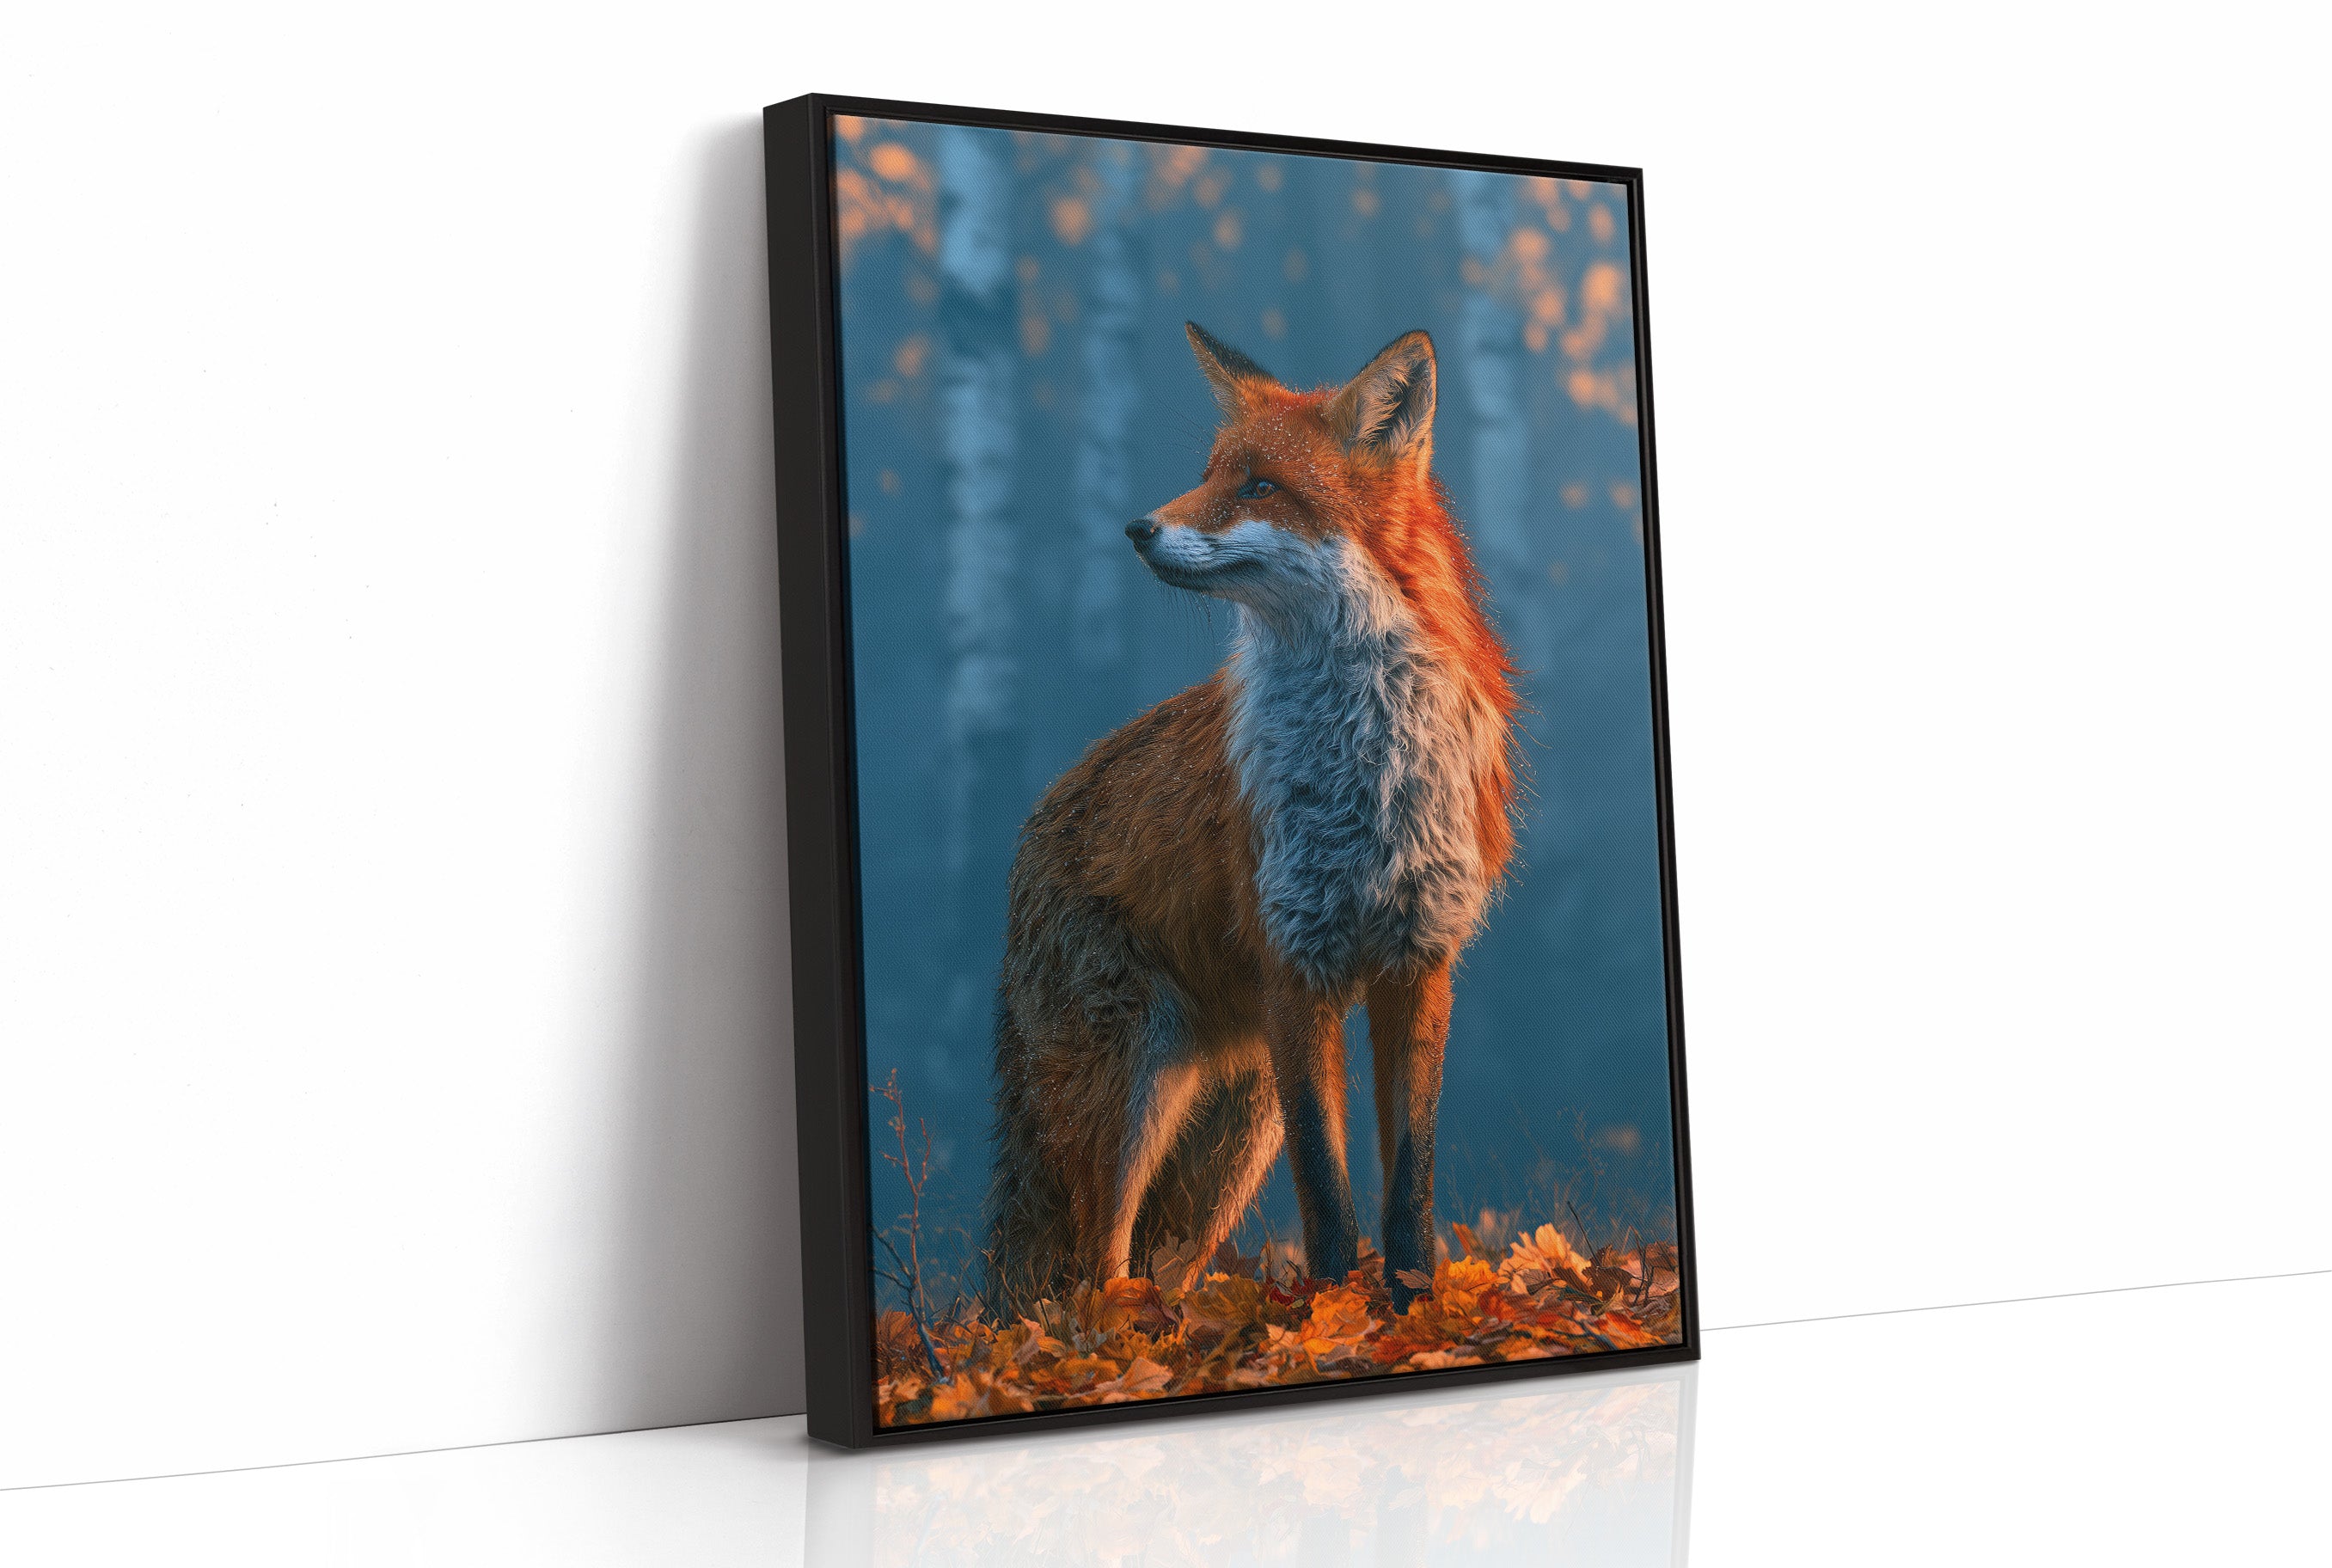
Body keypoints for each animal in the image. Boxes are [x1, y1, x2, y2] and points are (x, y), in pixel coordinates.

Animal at [982, 322, 1520, 1315]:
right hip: (1128, 1096)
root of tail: (1038, 816)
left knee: (1153, 1265)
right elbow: (1327, 1194)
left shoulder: (1418, 960)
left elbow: (1408, 1186)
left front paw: (1410, 1313)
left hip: (1229, 1140)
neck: (1359, 773)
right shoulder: (1294, 965)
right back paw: (1114, 1341)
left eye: (1259, 486)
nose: (1136, 528)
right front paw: (1334, 1318)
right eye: (1208, 474)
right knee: (1092, 1270)